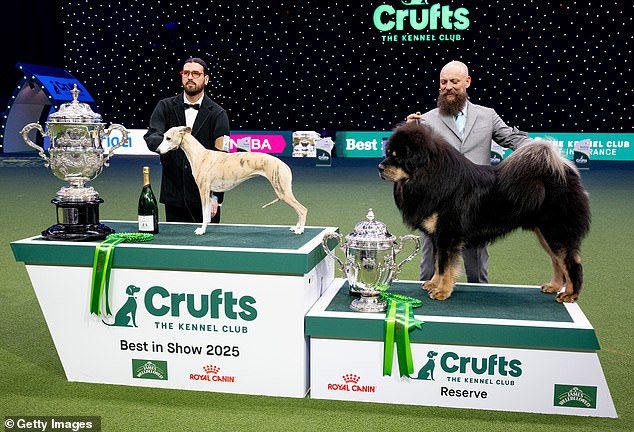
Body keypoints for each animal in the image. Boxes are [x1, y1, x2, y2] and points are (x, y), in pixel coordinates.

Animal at [157, 126, 308, 235]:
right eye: (164, 137)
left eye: (168, 138)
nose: (157, 150)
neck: (200, 155)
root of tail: (284, 165)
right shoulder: (209, 192)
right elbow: (208, 214)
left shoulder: (203, 190)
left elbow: (204, 214)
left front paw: (202, 230)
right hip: (284, 192)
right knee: (298, 210)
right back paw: (296, 227)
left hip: (282, 192)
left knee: (302, 209)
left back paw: (300, 229)